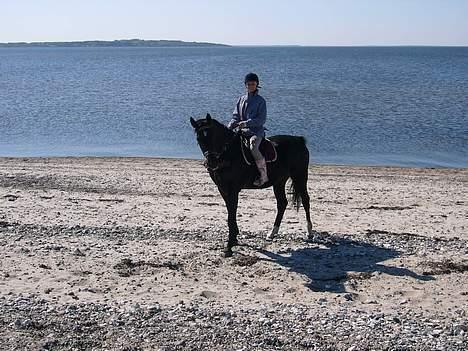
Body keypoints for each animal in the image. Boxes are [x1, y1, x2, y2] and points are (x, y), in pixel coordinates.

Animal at [190, 114, 314, 258]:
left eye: (212, 135)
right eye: (199, 138)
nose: (211, 162)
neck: (229, 154)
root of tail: (299, 140)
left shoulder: (233, 190)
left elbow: (231, 214)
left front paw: (229, 246)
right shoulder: (223, 189)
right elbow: (230, 212)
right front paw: (234, 238)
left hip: (300, 176)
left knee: (305, 200)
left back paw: (310, 232)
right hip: (279, 182)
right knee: (282, 203)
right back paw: (272, 233)